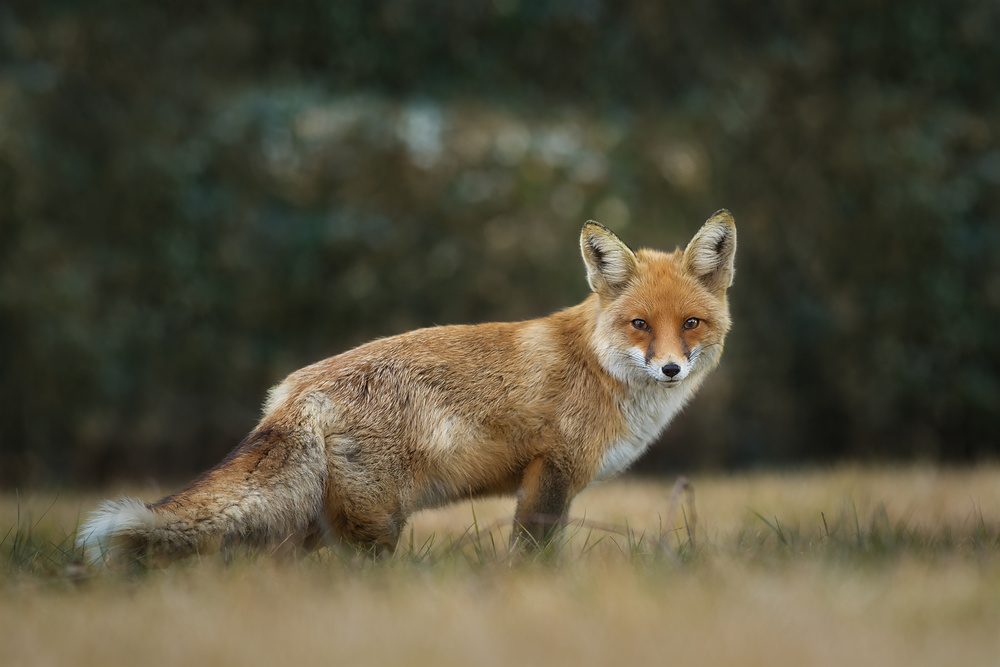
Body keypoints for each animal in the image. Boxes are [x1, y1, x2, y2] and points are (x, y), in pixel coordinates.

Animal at [78, 211, 736, 568]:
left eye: (691, 324)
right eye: (640, 325)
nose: (671, 369)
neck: (598, 367)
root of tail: (295, 391)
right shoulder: (551, 474)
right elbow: (532, 555)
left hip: (316, 526)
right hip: (376, 527)